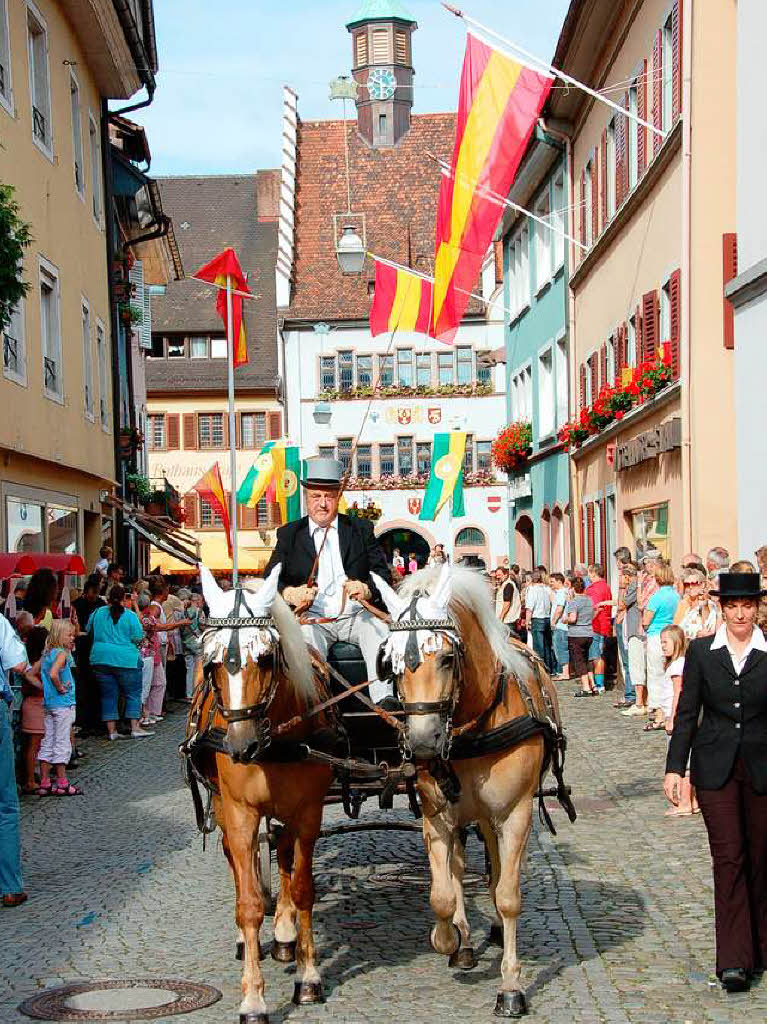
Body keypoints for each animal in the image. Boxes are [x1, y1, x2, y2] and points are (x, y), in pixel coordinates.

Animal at [190, 569, 333, 1024]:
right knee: (240, 860)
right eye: (214, 663)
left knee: (282, 852)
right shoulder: (240, 812)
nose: (241, 746)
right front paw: (253, 998)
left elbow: (303, 888)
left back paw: (285, 933)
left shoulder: (308, 812)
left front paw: (308, 976)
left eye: (267, 659)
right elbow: (250, 901)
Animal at [374, 565, 565, 1019]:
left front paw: (511, 987)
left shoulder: (515, 814)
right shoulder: (437, 815)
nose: (423, 743)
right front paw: (449, 940)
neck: (476, 721)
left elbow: (508, 894)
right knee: (460, 869)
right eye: (391, 662)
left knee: (495, 870)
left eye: (447, 658)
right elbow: (441, 894)